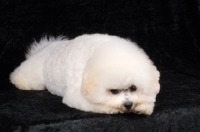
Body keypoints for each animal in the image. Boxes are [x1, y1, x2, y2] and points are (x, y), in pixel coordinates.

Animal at [9, 33, 160, 114]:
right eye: (114, 91)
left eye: (133, 88)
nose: (128, 105)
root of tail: (45, 47)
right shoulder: (76, 96)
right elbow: (97, 104)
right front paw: (111, 108)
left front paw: (144, 106)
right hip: (34, 73)